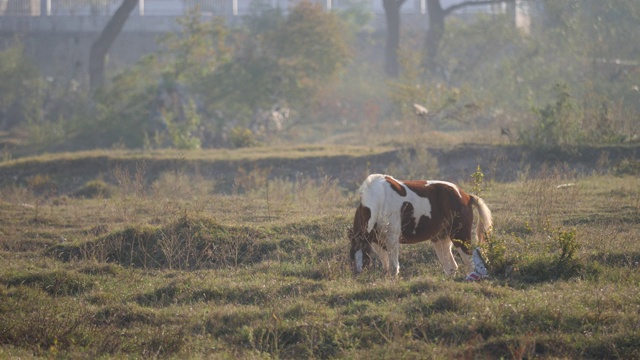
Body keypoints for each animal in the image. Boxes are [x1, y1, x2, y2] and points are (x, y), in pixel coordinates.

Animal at [348, 174, 492, 278]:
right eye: (352, 255)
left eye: (365, 256)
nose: (358, 275)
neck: (380, 198)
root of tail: (466, 196)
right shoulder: (377, 242)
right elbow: (386, 266)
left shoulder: (392, 239)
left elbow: (393, 268)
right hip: (441, 240)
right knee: (451, 267)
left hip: (460, 237)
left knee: (470, 262)